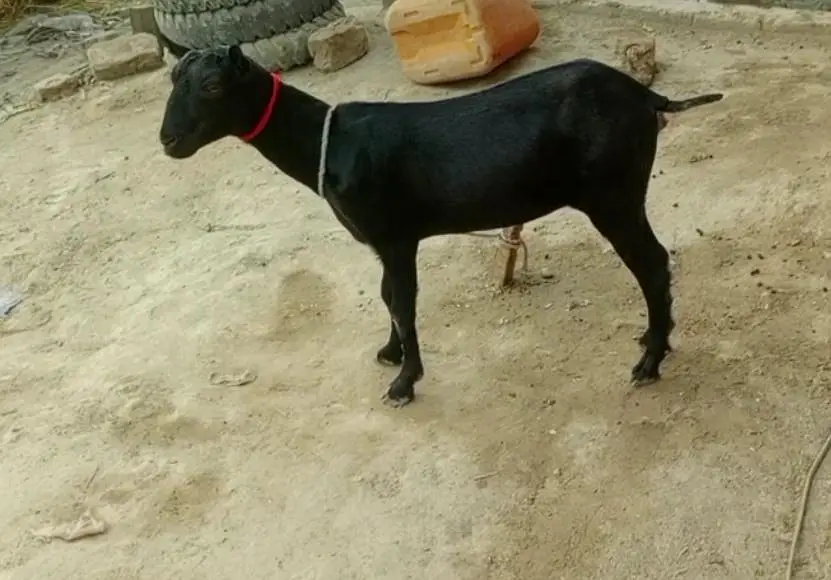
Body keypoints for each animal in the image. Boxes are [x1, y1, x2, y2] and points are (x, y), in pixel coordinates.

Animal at [159, 45, 723, 408]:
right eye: (174, 84)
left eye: (212, 86)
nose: (168, 140)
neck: (330, 143)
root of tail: (648, 98)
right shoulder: (383, 243)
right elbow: (387, 296)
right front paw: (389, 354)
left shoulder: (396, 235)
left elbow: (404, 302)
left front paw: (404, 383)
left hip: (613, 194)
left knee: (652, 264)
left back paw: (650, 362)